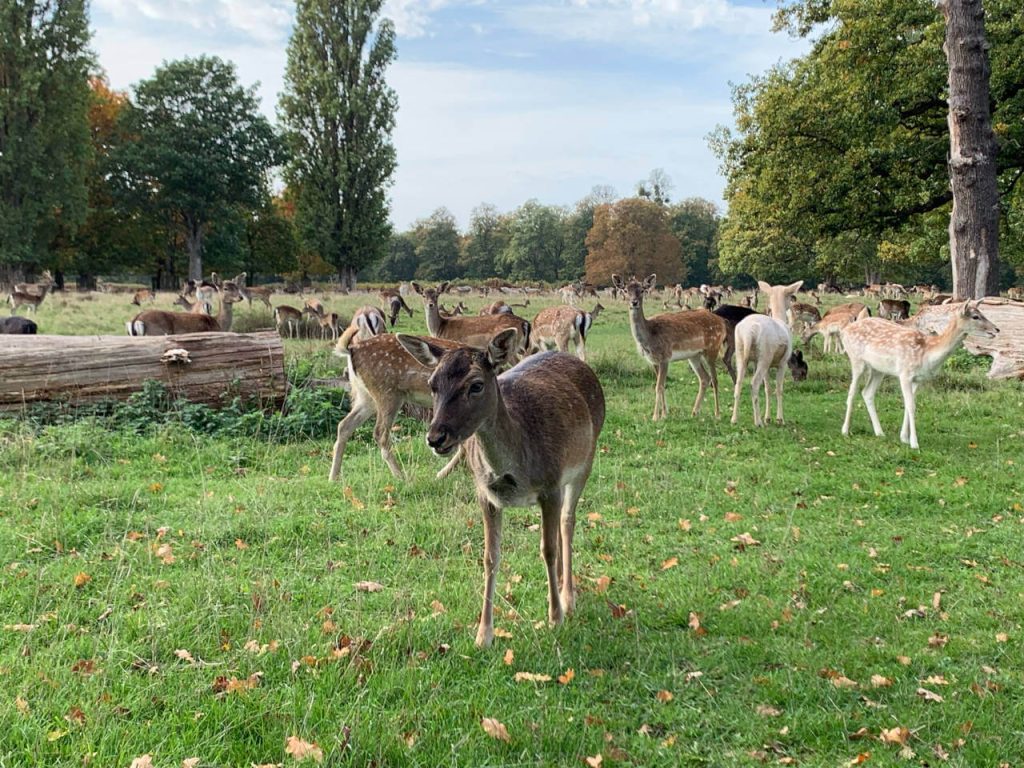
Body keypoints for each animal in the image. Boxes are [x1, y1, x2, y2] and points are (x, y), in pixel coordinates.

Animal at [396, 328, 605, 648]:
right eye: (432, 385)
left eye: (476, 385)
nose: (435, 437)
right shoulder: (485, 494)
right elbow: (490, 556)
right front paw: (484, 634)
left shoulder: (551, 485)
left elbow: (548, 549)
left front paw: (555, 617)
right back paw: (558, 585)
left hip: (585, 461)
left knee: (568, 522)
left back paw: (567, 597)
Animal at [613, 274, 727, 421]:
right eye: (625, 290)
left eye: (642, 290)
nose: (634, 302)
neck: (650, 337)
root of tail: (722, 323)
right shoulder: (653, 361)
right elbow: (661, 386)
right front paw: (664, 414)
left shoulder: (665, 356)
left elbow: (659, 386)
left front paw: (655, 416)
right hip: (694, 355)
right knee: (704, 378)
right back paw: (694, 412)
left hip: (712, 348)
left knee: (715, 379)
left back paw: (717, 414)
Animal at [840, 301, 998, 450]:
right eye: (975, 316)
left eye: (982, 312)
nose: (996, 329)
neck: (927, 353)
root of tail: (846, 329)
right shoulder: (904, 373)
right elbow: (911, 406)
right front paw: (914, 443)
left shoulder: (917, 379)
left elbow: (908, 405)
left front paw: (904, 438)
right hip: (856, 359)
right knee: (852, 392)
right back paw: (845, 430)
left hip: (878, 369)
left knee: (867, 392)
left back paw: (879, 432)